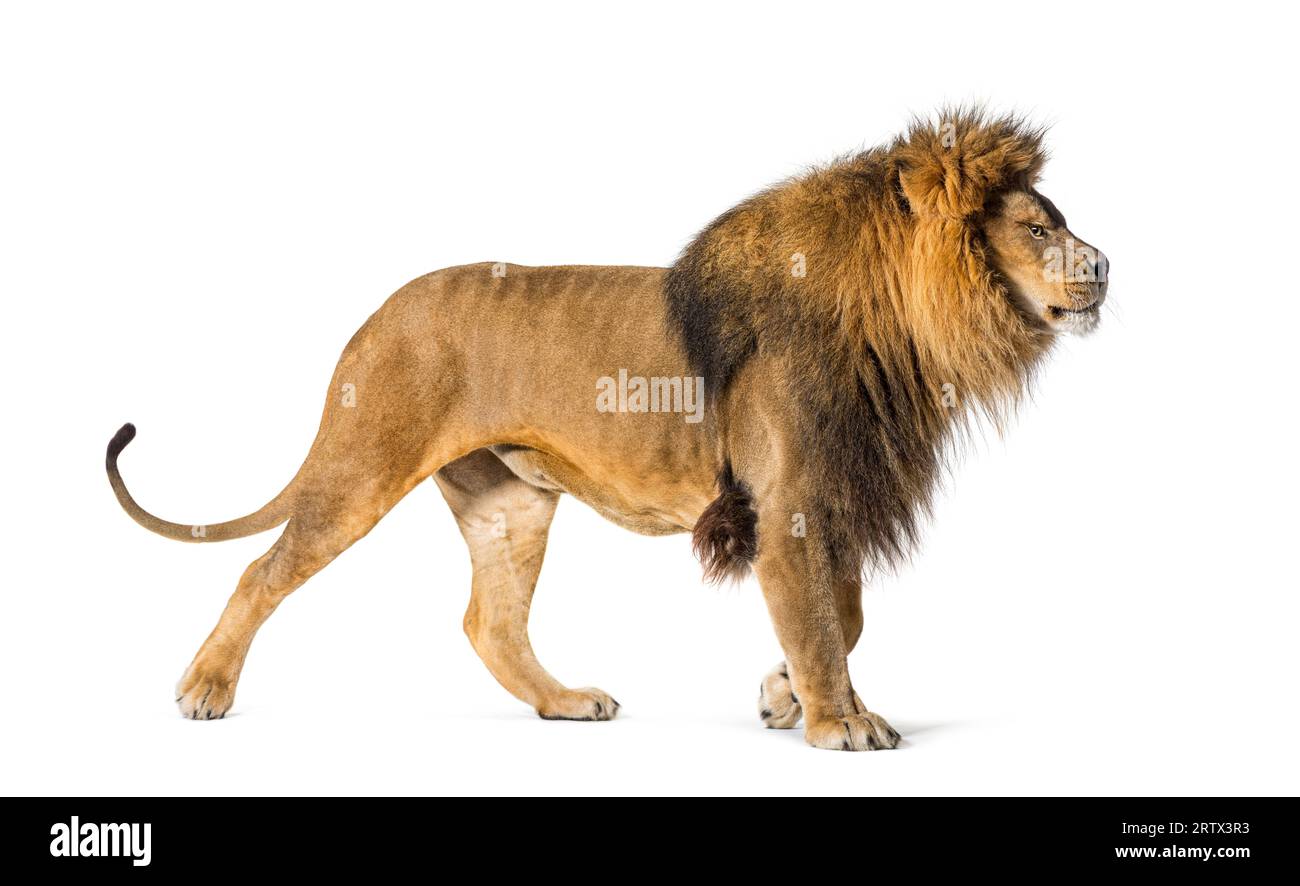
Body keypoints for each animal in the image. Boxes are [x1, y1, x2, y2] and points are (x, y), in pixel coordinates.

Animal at [106, 109, 1107, 750]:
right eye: (1035, 228)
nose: (1104, 263)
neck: (897, 325)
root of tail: (375, 317)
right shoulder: (786, 504)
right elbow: (822, 620)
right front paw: (839, 723)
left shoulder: (830, 498)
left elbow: (843, 614)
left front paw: (781, 696)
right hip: (362, 468)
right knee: (262, 569)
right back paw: (205, 691)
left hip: (510, 502)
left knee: (489, 623)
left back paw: (564, 703)